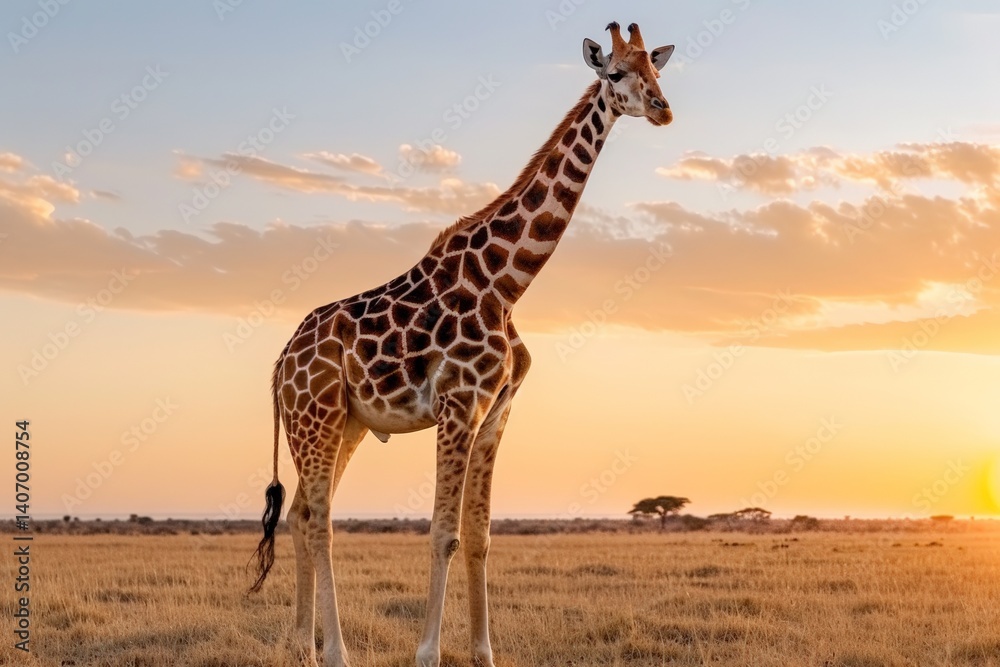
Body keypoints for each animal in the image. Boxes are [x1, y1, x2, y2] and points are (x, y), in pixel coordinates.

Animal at [250, 21, 674, 667]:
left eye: (657, 70)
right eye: (616, 73)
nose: (661, 109)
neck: (507, 283)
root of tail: (280, 365)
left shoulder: (497, 409)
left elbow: (479, 534)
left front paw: (483, 652)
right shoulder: (458, 404)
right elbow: (442, 533)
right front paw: (427, 652)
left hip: (343, 423)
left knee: (299, 514)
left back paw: (303, 645)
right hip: (314, 417)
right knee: (320, 519)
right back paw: (336, 651)